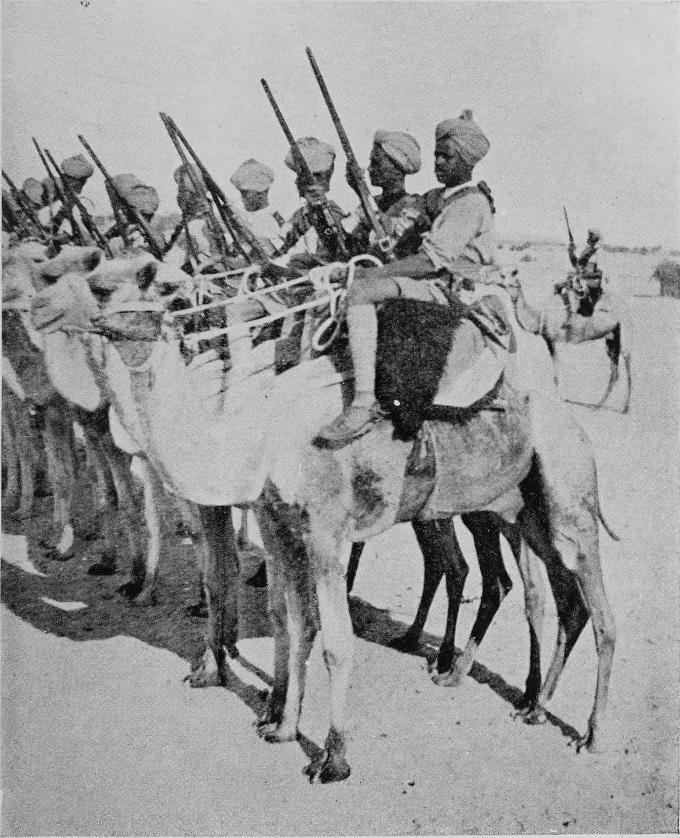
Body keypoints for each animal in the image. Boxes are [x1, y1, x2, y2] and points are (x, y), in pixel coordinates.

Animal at [84, 261, 617, 783]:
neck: (256, 435)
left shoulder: (325, 534)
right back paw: (526, 703)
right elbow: (292, 623)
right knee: (555, 598)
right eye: (99, 280)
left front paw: (332, 758)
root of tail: (572, 424)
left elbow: (335, 643)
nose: (91, 311)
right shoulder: (280, 530)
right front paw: (281, 727)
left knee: (596, 613)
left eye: (154, 281)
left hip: (570, 497)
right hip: (522, 513)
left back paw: (590, 736)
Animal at [490, 268, 633, 413]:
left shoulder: (556, 340)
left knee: (627, 360)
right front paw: (563, 397)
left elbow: (557, 370)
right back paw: (597, 405)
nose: (489, 278)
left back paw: (624, 407)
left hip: (624, 329)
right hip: (611, 337)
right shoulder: (552, 341)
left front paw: (561, 399)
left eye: (503, 275)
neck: (540, 316)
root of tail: (625, 305)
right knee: (614, 371)